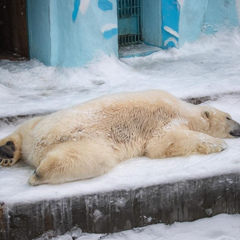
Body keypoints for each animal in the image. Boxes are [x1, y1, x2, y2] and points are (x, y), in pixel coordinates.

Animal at [0, 90, 240, 186]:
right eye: (229, 117)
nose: (239, 128)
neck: (185, 110)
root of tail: (40, 143)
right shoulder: (165, 119)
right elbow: (164, 142)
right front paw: (219, 144)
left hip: (37, 128)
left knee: (24, 129)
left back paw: (7, 151)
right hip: (86, 139)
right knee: (89, 160)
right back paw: (38, 174)